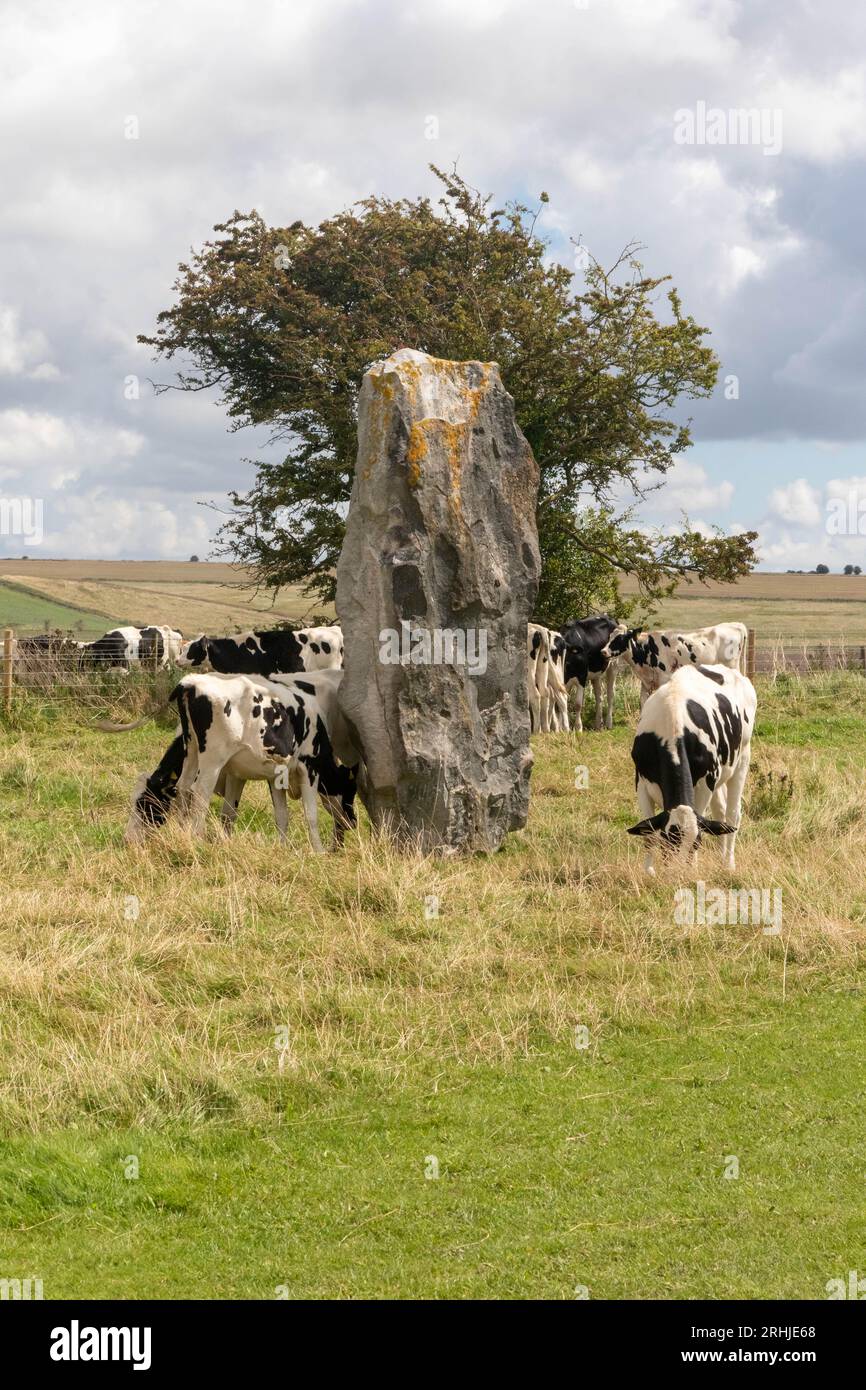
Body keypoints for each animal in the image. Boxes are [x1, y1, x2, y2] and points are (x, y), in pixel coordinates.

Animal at [130, 661, 361, 845]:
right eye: (351, 790)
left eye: (142, 803)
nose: (353, 821)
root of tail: (190, 683)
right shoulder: (309, 767)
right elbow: (311, 815)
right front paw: (318, 851)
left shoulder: (258, 774)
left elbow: (275, 815)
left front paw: (283, 848)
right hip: (212, 759)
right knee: (200, 793)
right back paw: (196, 838)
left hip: (193, 749)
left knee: (184, 788)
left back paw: (184, 834)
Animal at [622, 661, 756, 867]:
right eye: (667, 841)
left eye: (697, 842)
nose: (677, 872)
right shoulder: (641, 782)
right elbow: (648, 833)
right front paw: (649, 870)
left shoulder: (704, 785)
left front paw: (692, 867)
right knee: (720, 812)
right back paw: (721, 857)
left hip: (742, 758)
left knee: (733, 814)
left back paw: (728, 864)